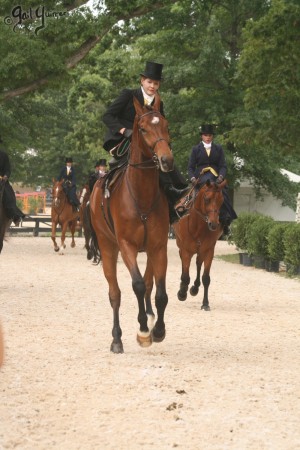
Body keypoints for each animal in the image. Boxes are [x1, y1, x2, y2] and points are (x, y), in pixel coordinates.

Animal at [87, 95, 173, 354]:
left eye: (166, 126)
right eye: (142, 129)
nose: (166, 160)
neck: (141, 195)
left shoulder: (158, 247)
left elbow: (160, 293)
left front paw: (158, 330)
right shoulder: (126, 246)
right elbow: (137, 285)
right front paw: (144, 331)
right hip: (108, 247)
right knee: (115, 293)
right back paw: (117, 339)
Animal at [173, 179, 225, 310]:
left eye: (221, 200)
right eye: (206, 198)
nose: (213, 224)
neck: (198, 226)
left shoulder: (209, 251)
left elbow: (206, 278)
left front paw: (205, 303)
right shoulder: (186, 250)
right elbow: (186, 275)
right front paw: (182, 293)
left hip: (200, 251)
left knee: (198, 263)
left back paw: (195, 288)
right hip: (181, 246)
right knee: (184, 265)